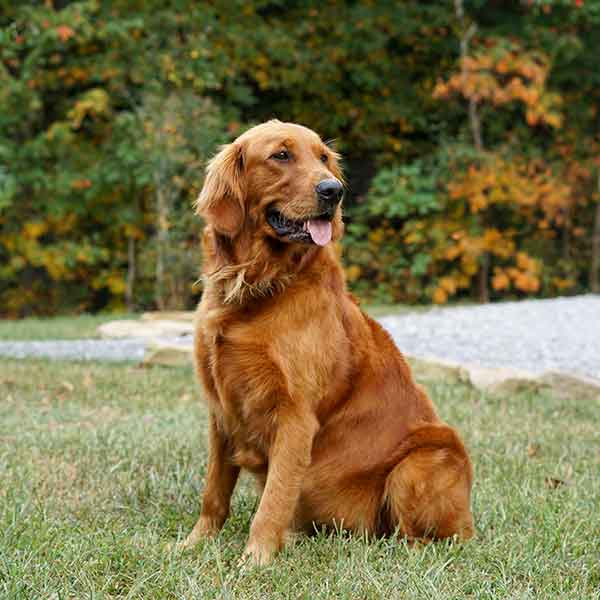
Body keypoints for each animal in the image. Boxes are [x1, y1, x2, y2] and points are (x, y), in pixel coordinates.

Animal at [183, 120, 474, 564]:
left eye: (323, 157)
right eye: (281, 155)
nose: (333, 191)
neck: (256, 288)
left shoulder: (295, 415)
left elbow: (273, 500)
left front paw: (255, 560)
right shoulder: (220, 411)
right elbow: (214, 491)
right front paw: (195, 543)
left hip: (423, 459)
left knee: (424, 539)